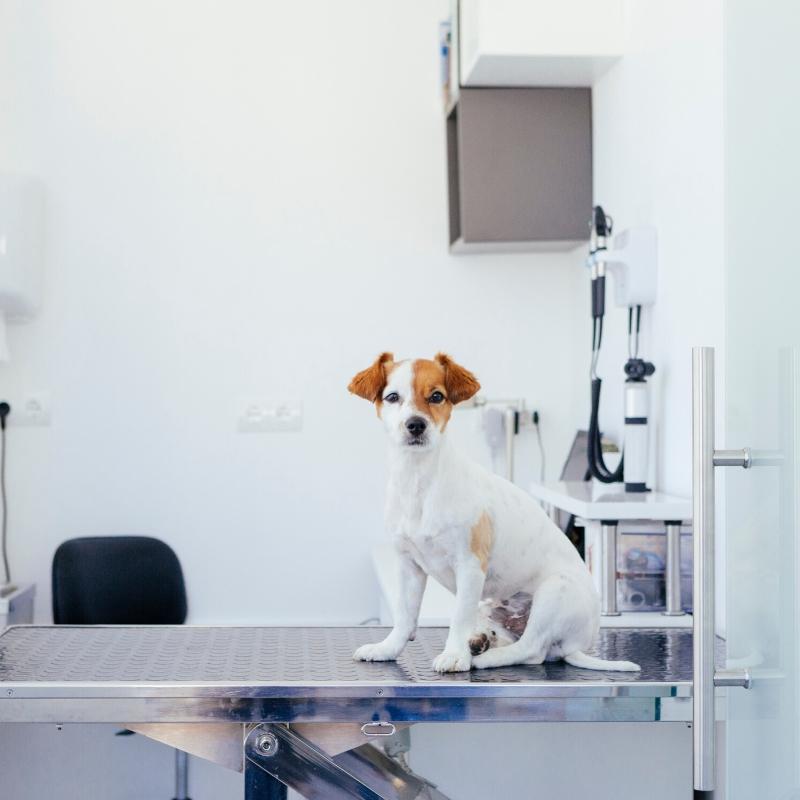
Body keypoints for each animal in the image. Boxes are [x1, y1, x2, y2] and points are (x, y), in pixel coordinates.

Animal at [346, 354, 640, 672]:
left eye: (436, 396)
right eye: (392, 397)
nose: (416, 425)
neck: (419, 481)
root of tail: (578, 643)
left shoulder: (470, 566)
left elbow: (458, 618)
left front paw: (455, 656)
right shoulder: (408, 566)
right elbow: (404, 616)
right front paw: (388, 648)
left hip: (553, 592)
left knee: (531, 650)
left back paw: (482, 658)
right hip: (490, 606)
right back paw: (479, 641)